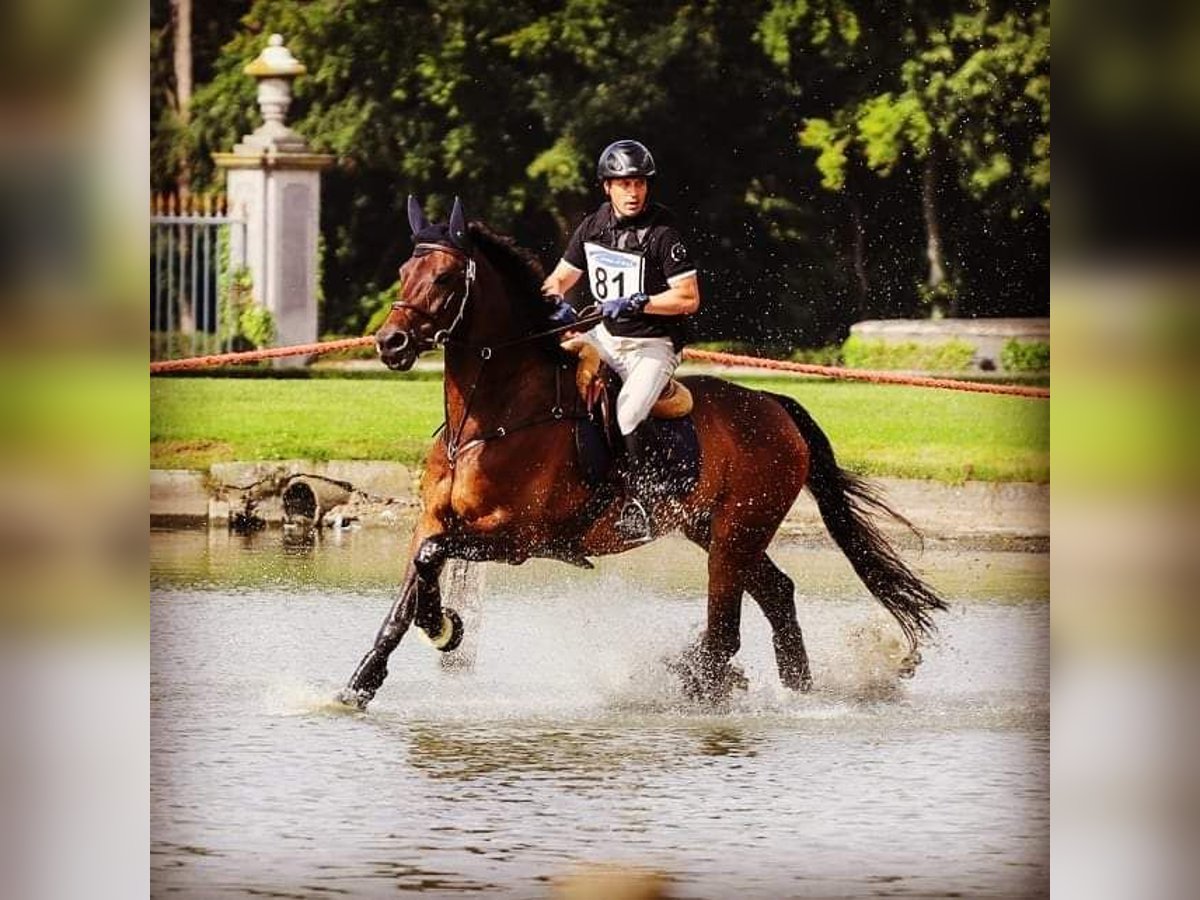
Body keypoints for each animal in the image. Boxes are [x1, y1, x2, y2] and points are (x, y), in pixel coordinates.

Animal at [333, 196, 940, 710]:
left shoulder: (519, 537)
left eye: (443, 277)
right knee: (777, 593)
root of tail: (773, 404)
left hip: (736, 531)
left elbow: (431, 559)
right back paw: (797, 690)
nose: (390, 344)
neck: (486, 421)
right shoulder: (434, 519)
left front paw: (445, 628)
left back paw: (691, 684)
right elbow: (412, 583)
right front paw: (362, 683)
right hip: (711, 527)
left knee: (727, 629)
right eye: (403, 273)